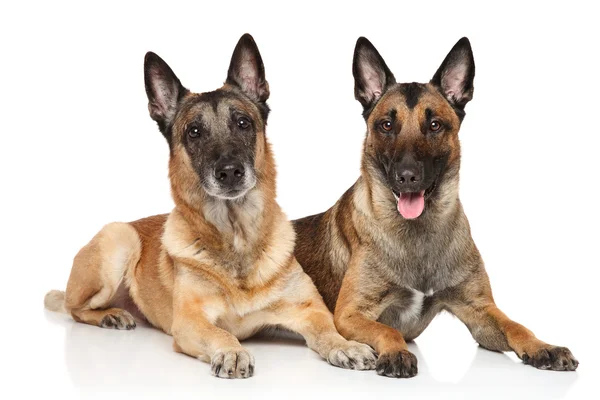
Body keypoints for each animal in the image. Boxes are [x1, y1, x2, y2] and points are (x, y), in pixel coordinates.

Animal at [44, 33, 376, 378]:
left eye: (243, 122)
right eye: (194, 132)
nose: (229, 172)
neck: (237, 238)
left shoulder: (309, 311)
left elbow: (328, 331)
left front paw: (346, 345)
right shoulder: (191, 322)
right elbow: (221, 333)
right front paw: (232, 351)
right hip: (119, 239)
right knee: (74, 308)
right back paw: (110, 315)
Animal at [292, 35, 580, 378]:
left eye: (434, 125)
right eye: (386, 125)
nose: (407, 176)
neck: (418, 233)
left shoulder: (479, 311)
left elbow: (516, 326)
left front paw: (543, 347)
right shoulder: (349, 315)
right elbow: (387, 329)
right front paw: (396, 353)